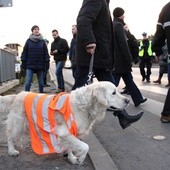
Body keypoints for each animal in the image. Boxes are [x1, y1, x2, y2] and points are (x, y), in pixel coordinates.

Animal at [0, 81, 129, 164]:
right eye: (113, 93)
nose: (128, 100)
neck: (85, 105)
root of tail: (18, 94)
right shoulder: (64, 132)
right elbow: (85, 146)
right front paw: (80, 158)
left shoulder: (72, 132)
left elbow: (71, 146)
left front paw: (71, 158)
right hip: (17, 124)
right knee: (10, 138)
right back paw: (12, 151)